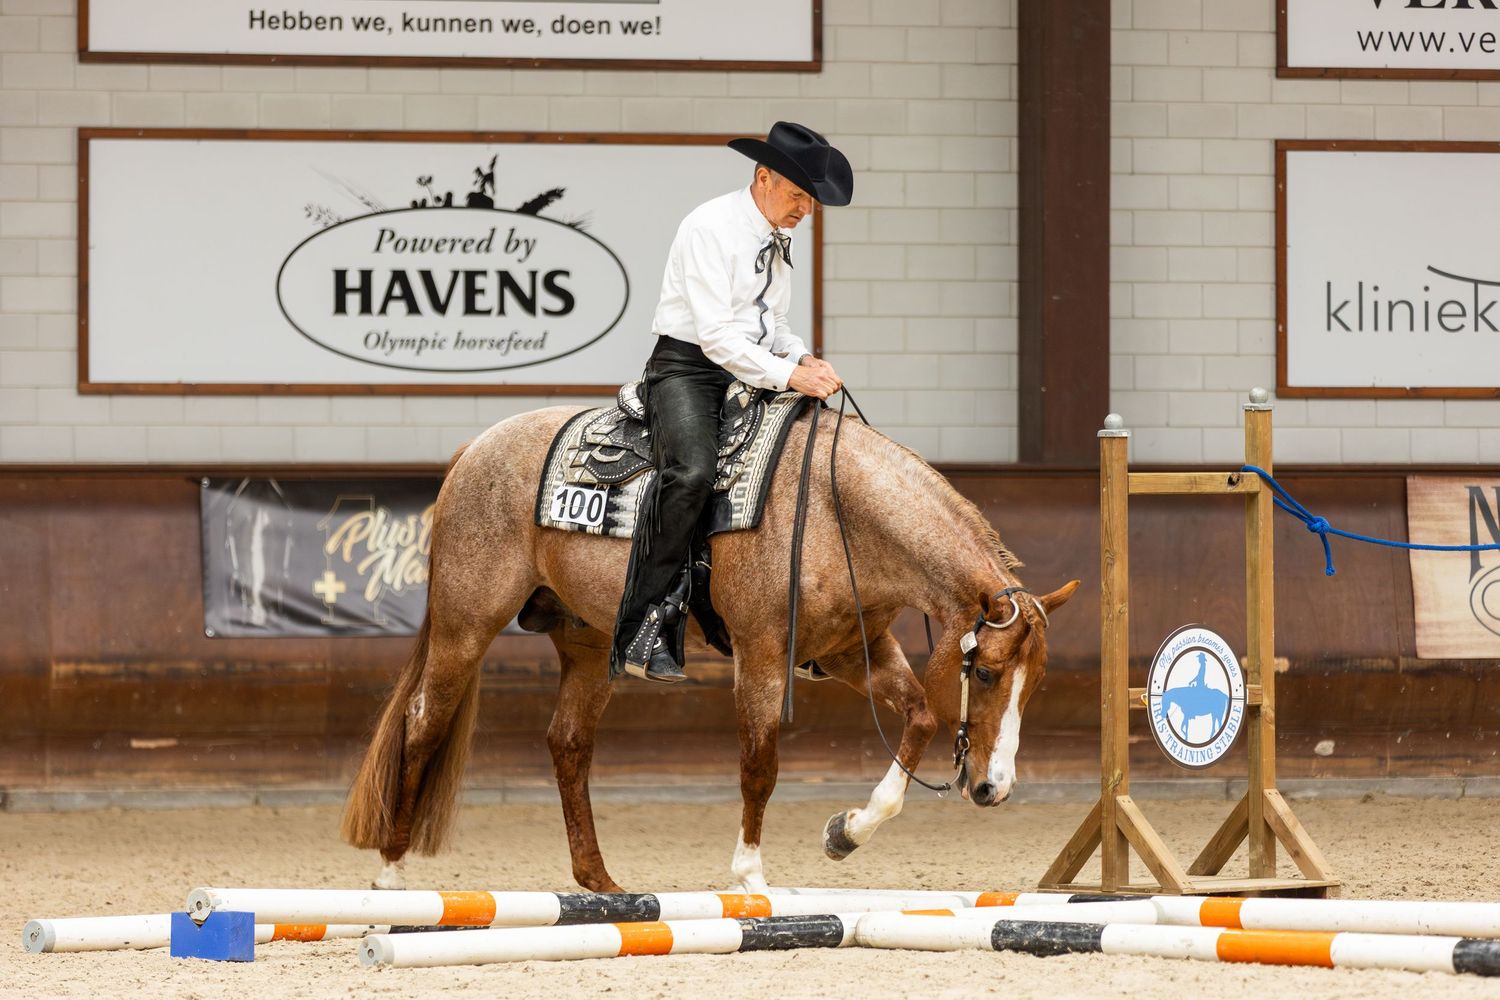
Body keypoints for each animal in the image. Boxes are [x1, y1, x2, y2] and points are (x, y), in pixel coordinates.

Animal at [339, 402, 1079, 893]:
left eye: (1036, 682)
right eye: (986, 674)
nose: (993, 789)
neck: (838, 511)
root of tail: (474, 448)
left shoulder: (856, 650)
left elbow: (920, 717)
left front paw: (845, 832)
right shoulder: (761, 653)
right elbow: (759, 765)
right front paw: (750, 876)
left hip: (589, 645)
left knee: (568, 743)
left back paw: (601, 881)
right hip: (465, 627)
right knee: (422, 724)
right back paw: (391, 872)